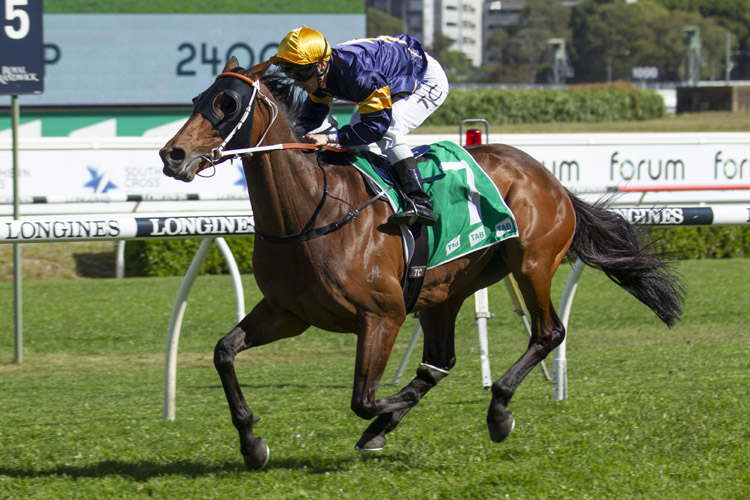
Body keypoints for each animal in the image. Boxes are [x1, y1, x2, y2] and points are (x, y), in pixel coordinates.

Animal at [160, 58, 688, 468]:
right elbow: (224, 352)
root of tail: (550, 179)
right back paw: (392, 425)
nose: (172, 154)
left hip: (532, 263)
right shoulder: (288, 312)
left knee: (547, 333)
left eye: (227, 104)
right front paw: (252, 443)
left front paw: (387, 408)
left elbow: (363, 397)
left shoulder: (383, 314)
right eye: (198, 97)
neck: (310, 211)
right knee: (440, 361)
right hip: (444, 289)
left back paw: (497, 411)